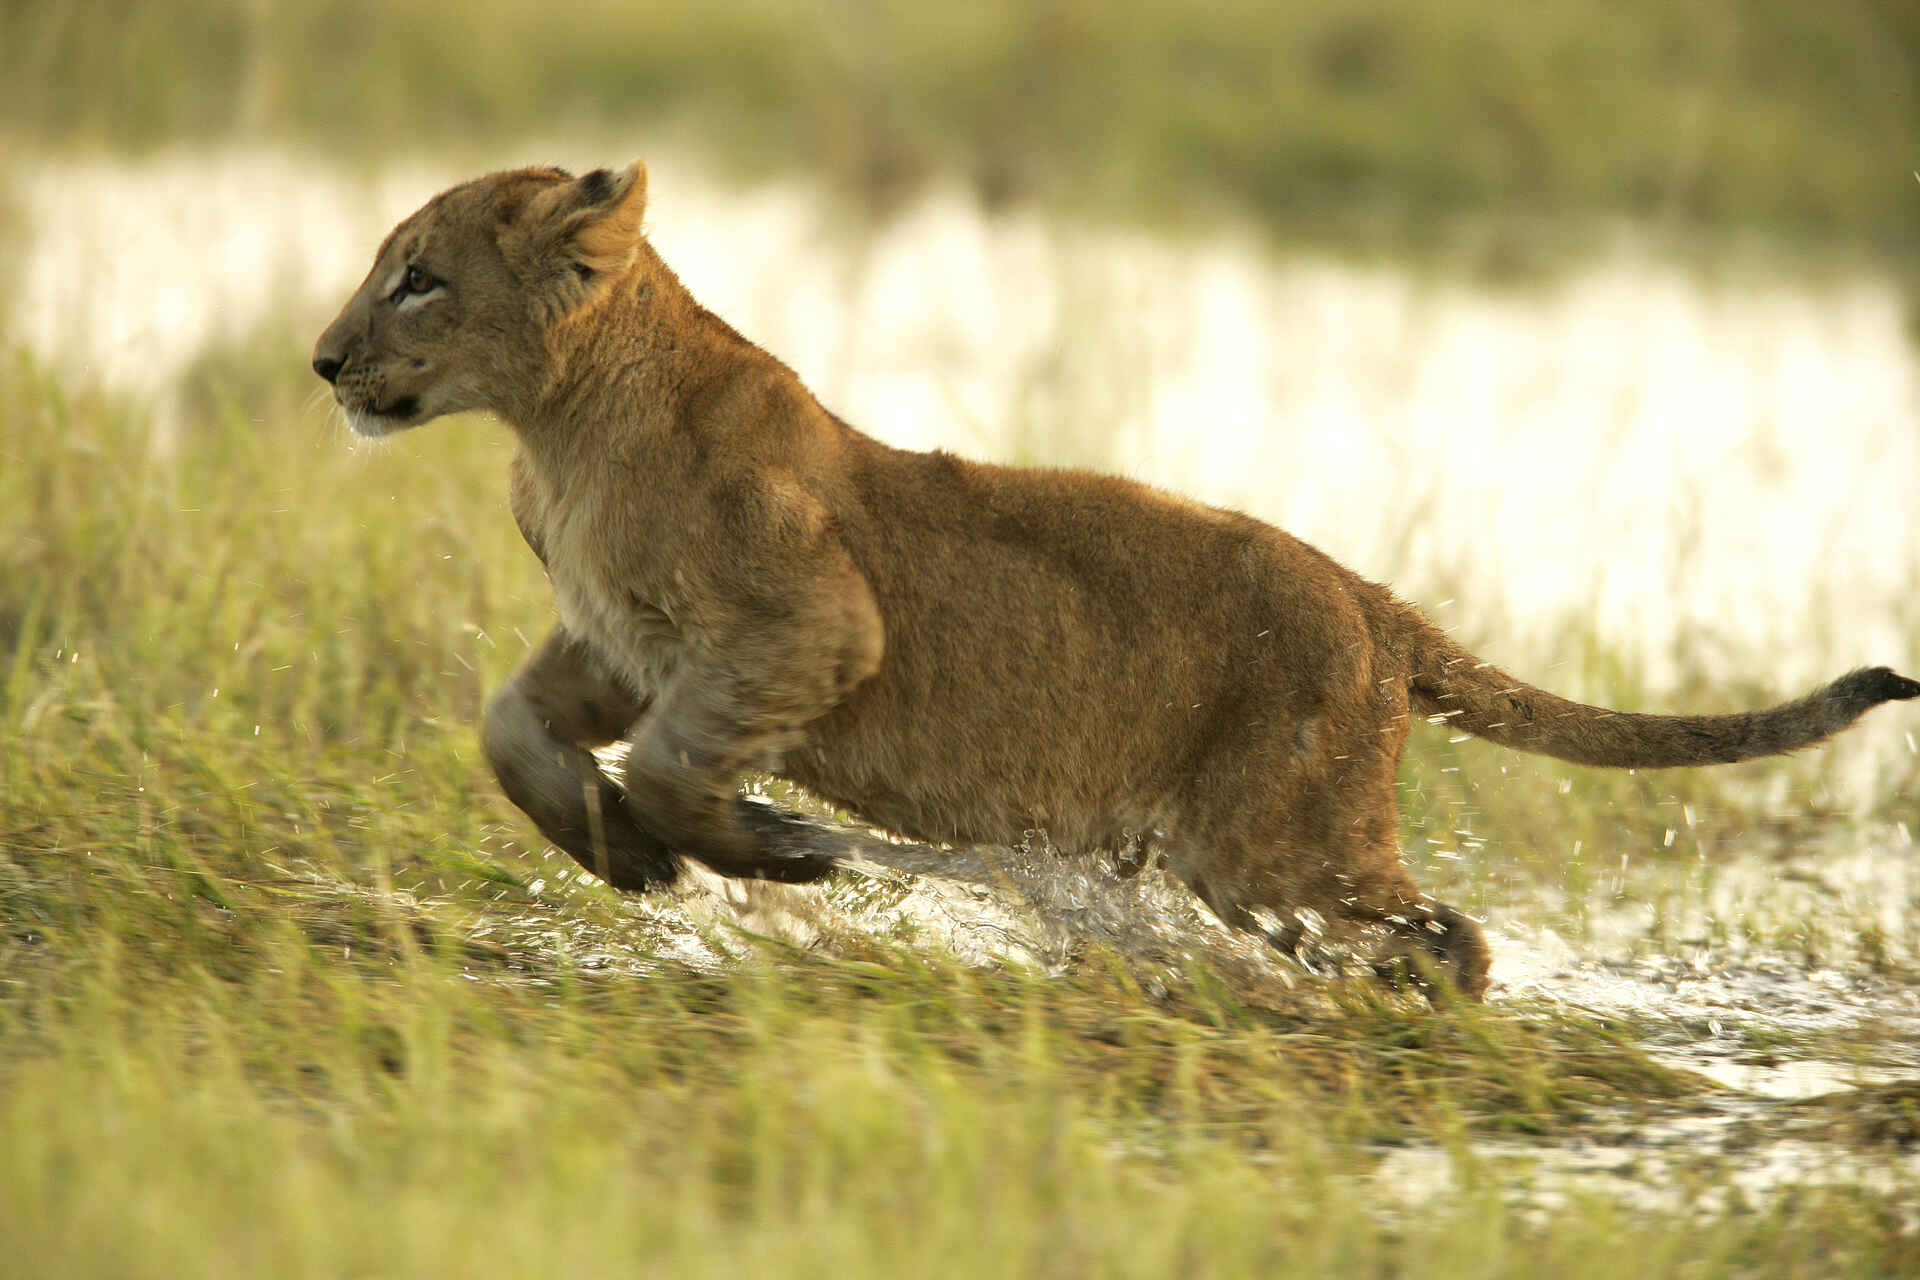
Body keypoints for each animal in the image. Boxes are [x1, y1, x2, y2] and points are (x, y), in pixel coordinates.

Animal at [312, 162, 1918, 999]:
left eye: (421, 277)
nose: (324, 363)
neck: (560, 431)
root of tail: (1373, 603)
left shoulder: (814, 625)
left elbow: (672, 758)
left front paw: (756, 849)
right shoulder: (616, 640)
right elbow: (512, 728)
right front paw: (618, 849)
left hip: (1277, 842)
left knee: (1448, 932)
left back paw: (1406, 1022)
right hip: (1249, 859)